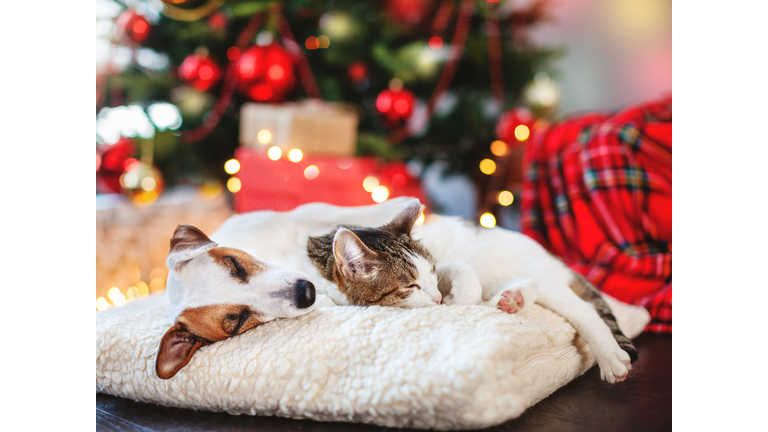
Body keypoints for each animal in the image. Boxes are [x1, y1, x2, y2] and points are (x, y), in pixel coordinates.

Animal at [304, 201, 636, 384]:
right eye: (410, 286)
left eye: (431, 272)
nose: (438, 298)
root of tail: (551, 256)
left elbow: (464, 276)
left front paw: (457, 300)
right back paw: (511, 298)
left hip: (541, 276)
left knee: (583, 309)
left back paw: (610, 356)